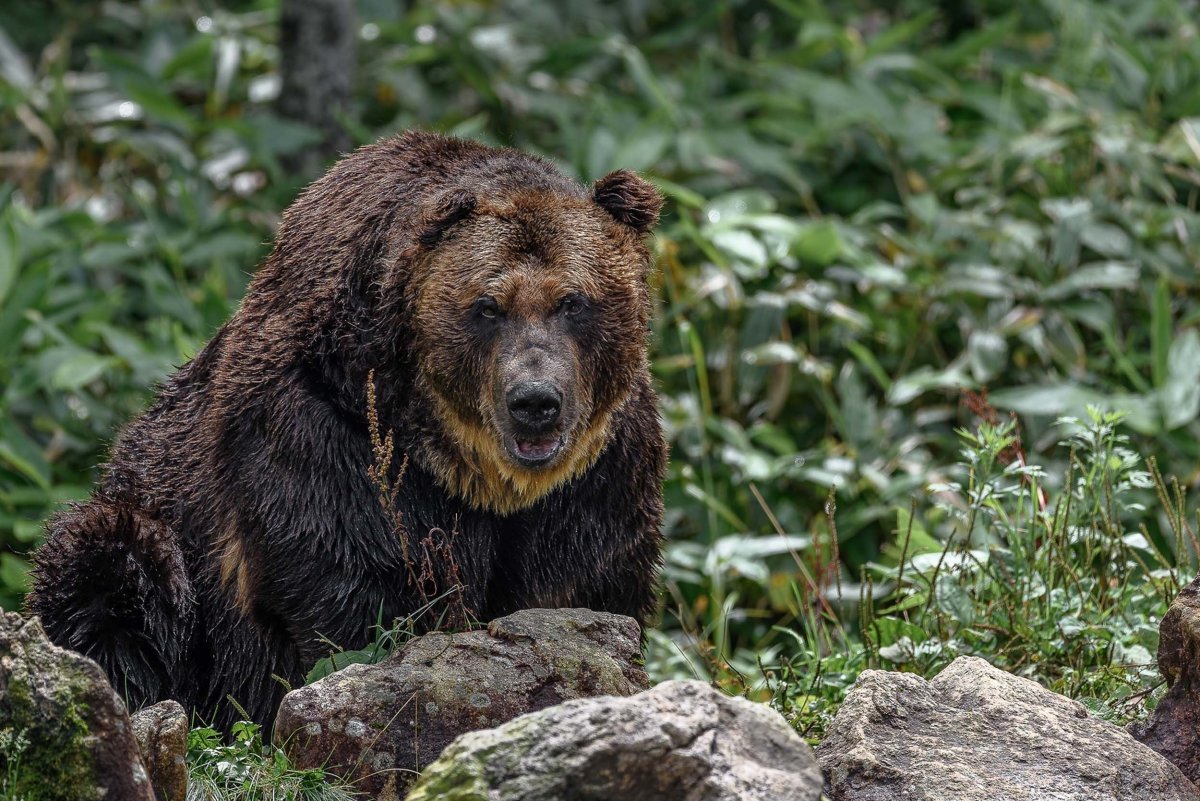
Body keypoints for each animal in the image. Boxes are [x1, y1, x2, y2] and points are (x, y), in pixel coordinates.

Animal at [25, 130, 667, 724]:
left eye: (573, 302)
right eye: (487, 307)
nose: (535, 401)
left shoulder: (600, 469)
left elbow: (580, 581)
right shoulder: (323, 427)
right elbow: (350, 585)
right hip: (159, 527)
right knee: (113, 564)